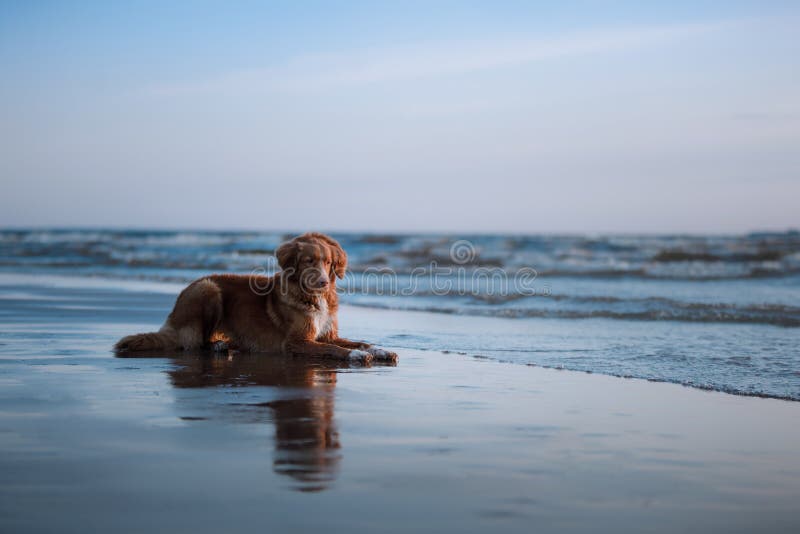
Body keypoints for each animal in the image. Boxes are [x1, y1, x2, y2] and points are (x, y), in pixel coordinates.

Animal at [111, 233, 396, 364]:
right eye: (308, 261)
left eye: (328, 263)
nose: (324, 282)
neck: (313, 297)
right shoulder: (296, 342)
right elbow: (335, 349)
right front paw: (356, 356)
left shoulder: (329, 334)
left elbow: (361, 341)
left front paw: (381, 350)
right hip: (208, 289)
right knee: (197, 343)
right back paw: (219, 347)